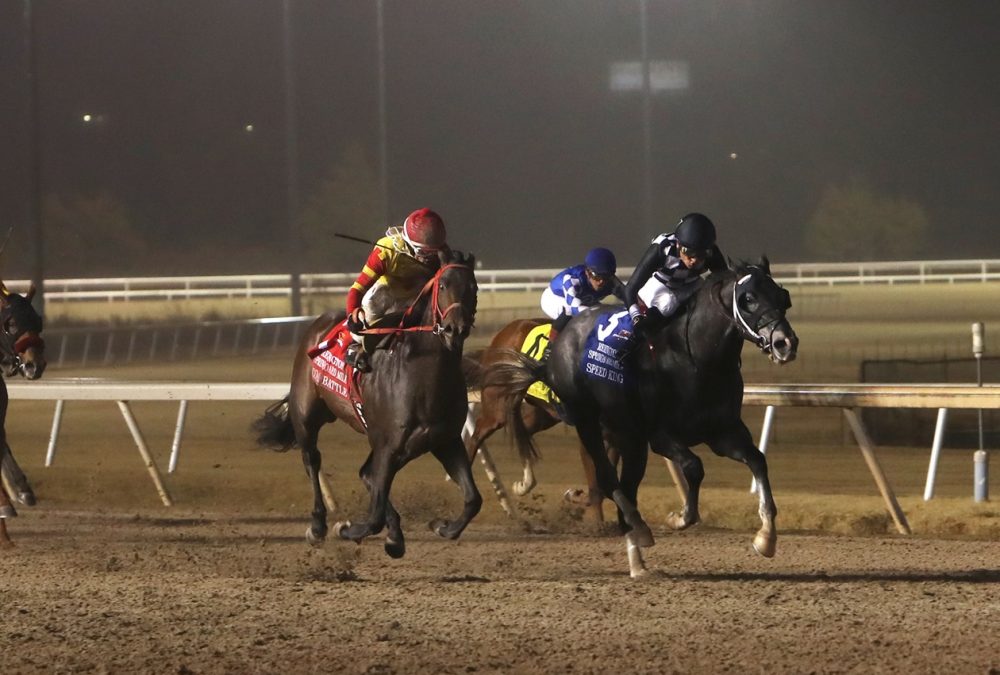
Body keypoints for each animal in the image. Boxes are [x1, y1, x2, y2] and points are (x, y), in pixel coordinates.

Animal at [254, 251, 480, 556]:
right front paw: (346, 528)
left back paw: (394, 534)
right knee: (312, 460)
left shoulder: (445, 441)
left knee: (367, 475)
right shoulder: (389, 445)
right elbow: (373, 517)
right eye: (442, 285)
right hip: (307, 416)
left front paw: (441, 527)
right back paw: (318, 526)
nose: (455, 329)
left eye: (473, 288)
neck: (423, 377)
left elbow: (472, 499)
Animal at [480, 262, 800, 580]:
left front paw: (766, 539)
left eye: (782, 296)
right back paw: (638, 529)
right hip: (588, 422)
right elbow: (693, 467)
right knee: (609, 479)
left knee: (623, 484)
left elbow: (757, 460)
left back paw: (637, 560)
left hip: (623, 436)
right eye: (748, 298)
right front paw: (678, 517)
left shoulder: (722, 432)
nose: (785, 343)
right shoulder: (660, 436)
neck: (695, 358)